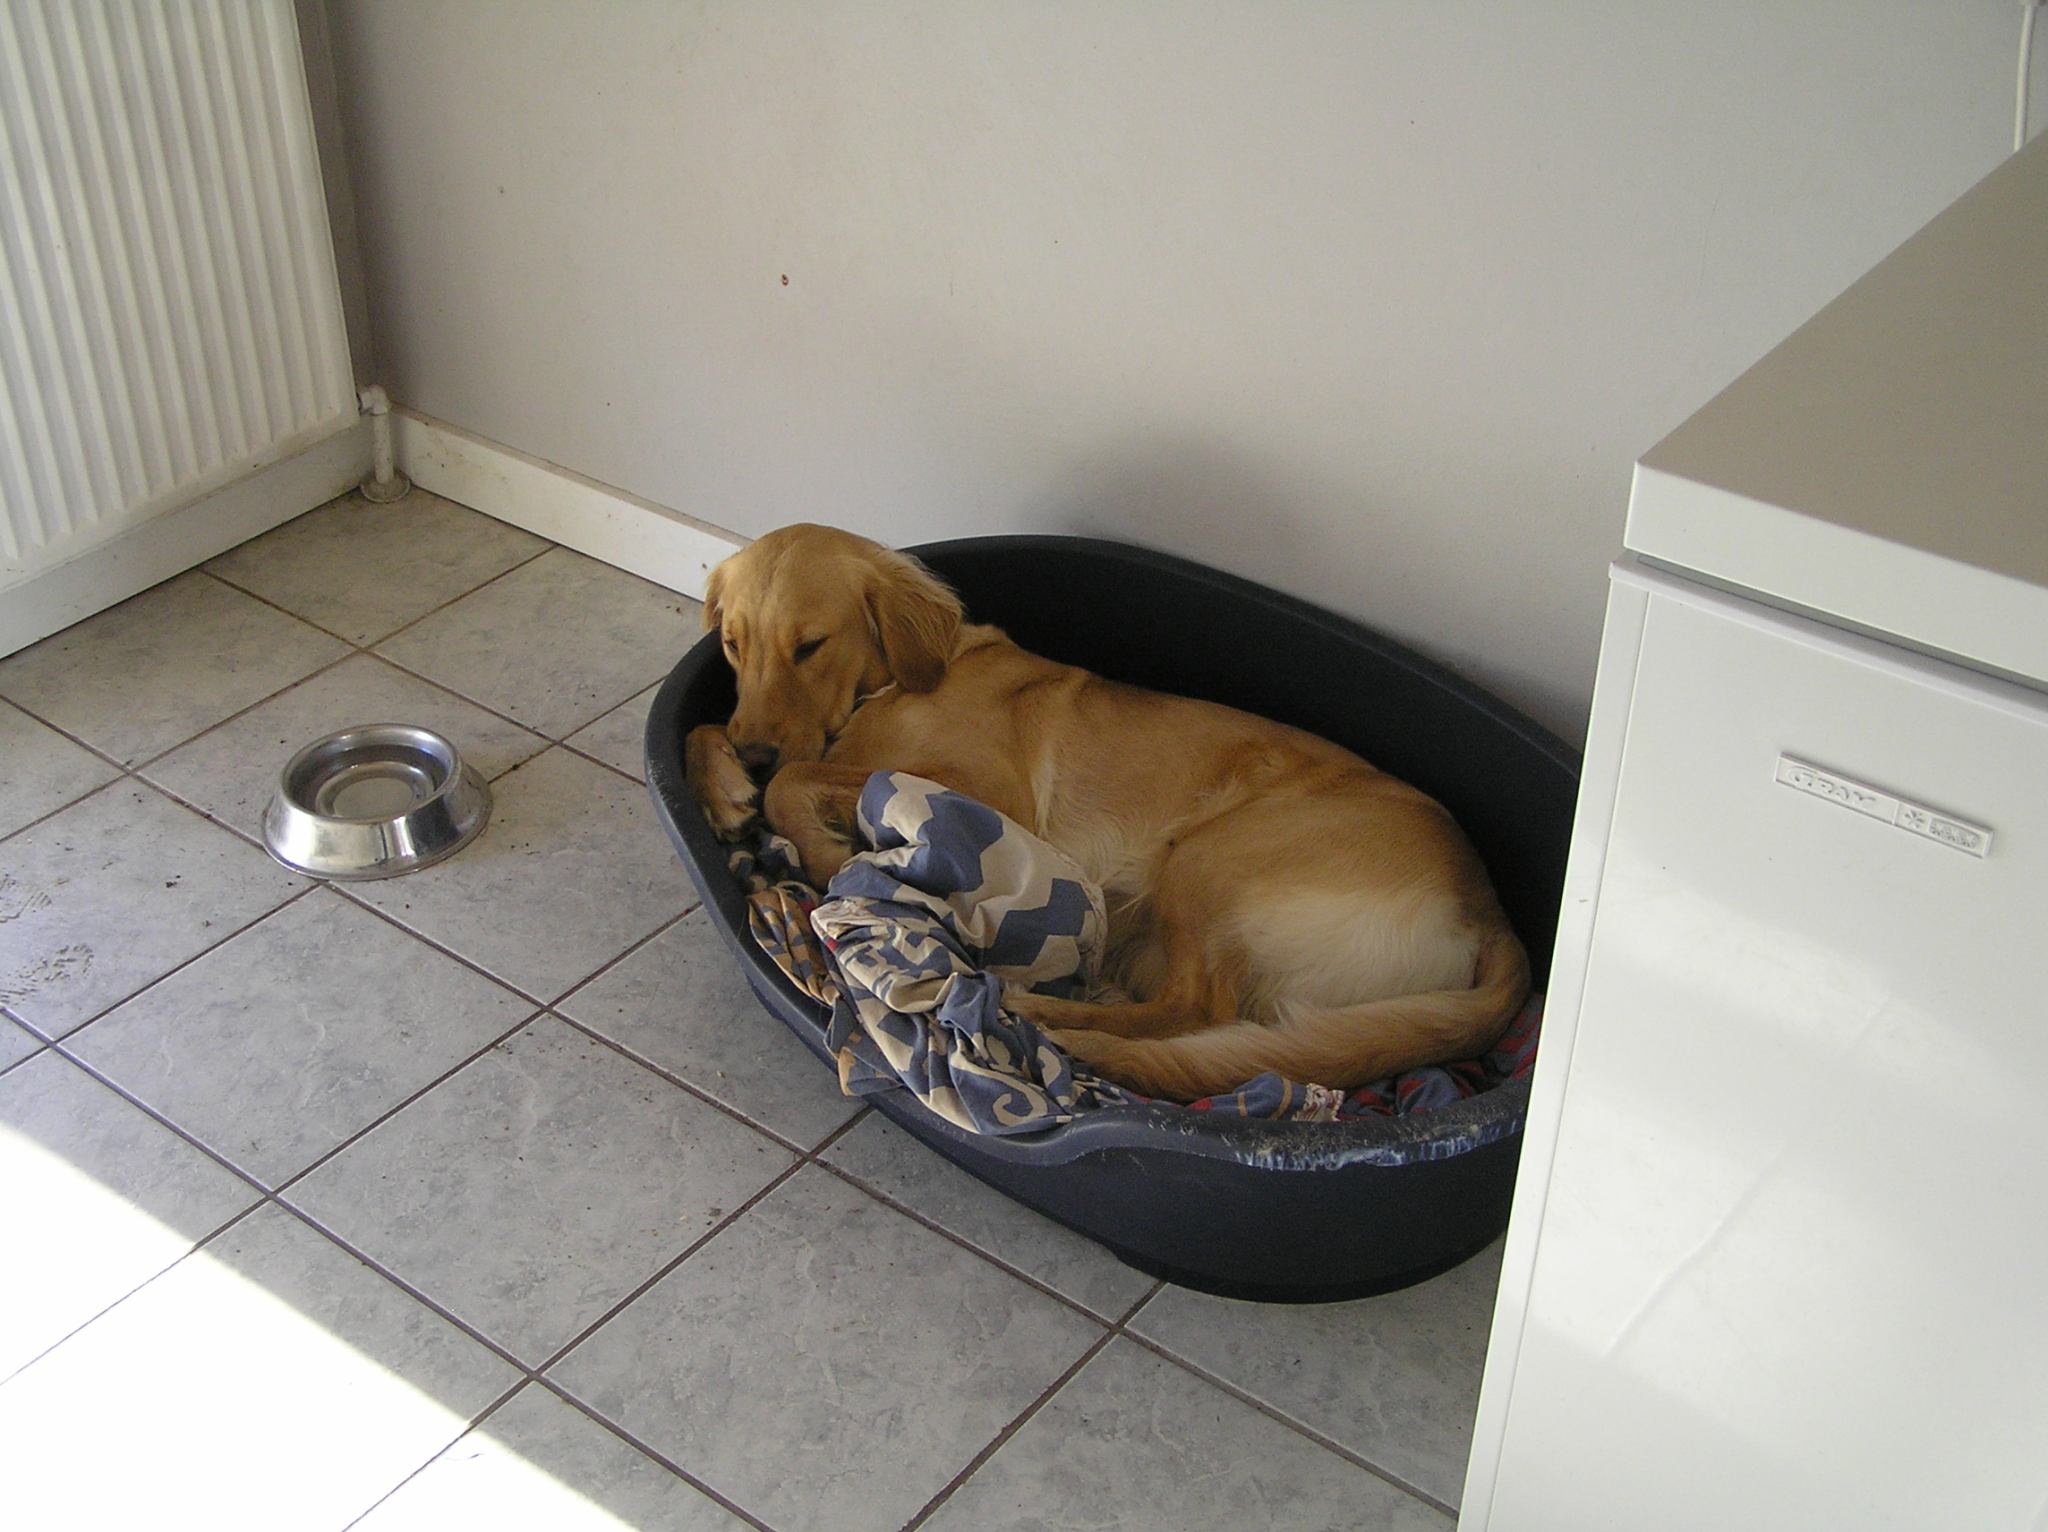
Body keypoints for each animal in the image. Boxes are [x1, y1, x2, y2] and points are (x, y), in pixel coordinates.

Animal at [687, 523, 1528, 1102]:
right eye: (731, 644)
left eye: (811, 646)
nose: (752, 752)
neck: (898, 682)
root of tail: (1490, 912)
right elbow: (709, 731)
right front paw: (726, 787)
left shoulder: (989, 793)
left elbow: (801, 776)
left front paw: (824, 852)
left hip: (1211, 856)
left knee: (1196, 1011)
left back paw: (1049, 1018)